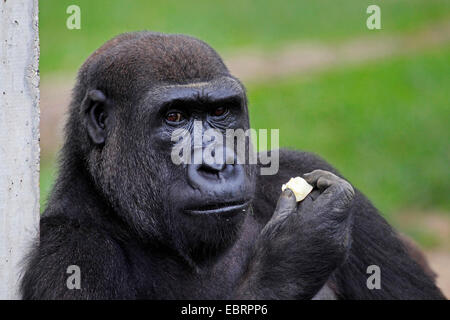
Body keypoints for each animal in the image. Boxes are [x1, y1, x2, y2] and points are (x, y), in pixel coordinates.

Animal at [21, 31, 442, 300]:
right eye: (174, 117)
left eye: (221, 111)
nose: (217, 165)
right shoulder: (68, 253)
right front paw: (294, 252)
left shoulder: (299, 163)